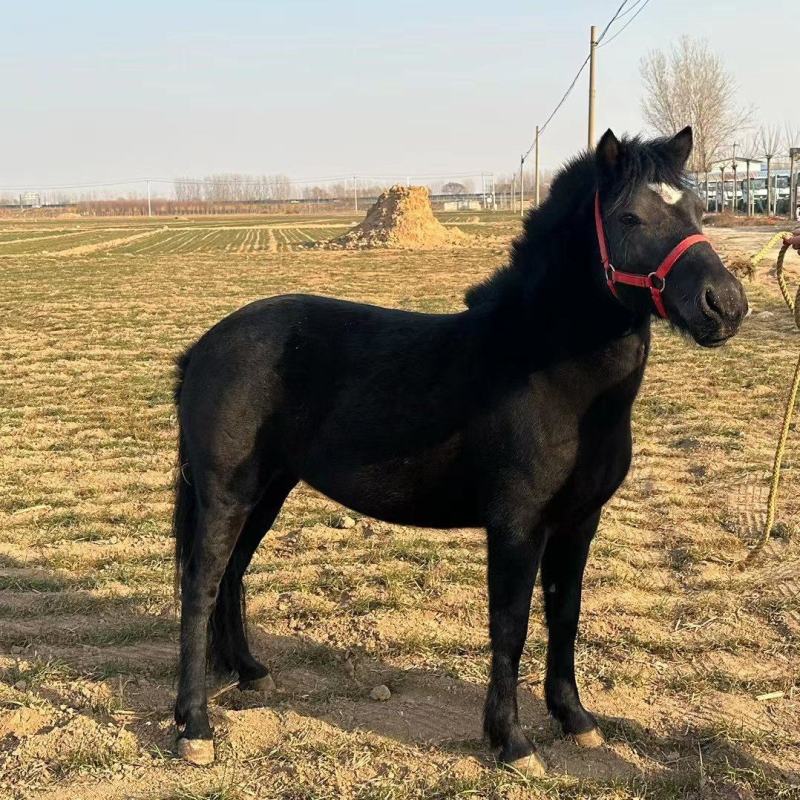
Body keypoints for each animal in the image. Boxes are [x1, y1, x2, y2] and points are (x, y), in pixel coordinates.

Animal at [171, 126, 748, 772]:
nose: (725, 304)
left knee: (232, 575)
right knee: (200, 587)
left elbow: (565, 614)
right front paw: (512, 741)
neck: (545, 371)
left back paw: (249, 672)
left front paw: (575, 719)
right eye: (630, 216)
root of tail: (204, 348)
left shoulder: (579, 522)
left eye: (697, 208)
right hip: (226, 495)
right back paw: (194, 726)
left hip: (266, 491)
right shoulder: (517, 526)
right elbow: (511, 626)